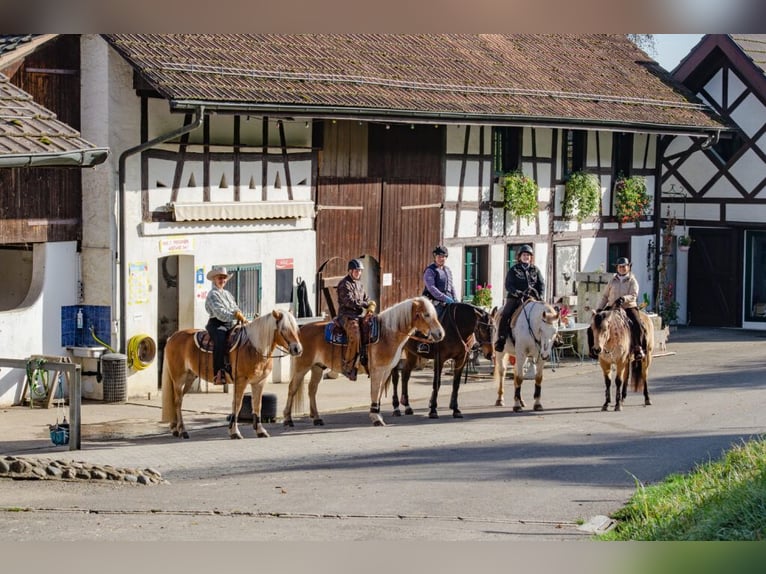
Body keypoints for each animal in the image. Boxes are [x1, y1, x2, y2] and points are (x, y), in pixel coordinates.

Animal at [161, 310, 304, 440]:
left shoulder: (259, 382)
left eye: (296, 328)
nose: (297, 349)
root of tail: (172, 337)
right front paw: (234, 432)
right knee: (178, 402)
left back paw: (175, 428)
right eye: (284, 329)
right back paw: (183, 431)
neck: (254, 348)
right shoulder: (241, 381)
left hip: (189, 378)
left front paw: (260, 431)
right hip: (179, 379)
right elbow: (237, 404)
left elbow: (257, 405)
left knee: (177, 401)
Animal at [284, 296, 448, 428]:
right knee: (292, 388)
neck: (386, 334)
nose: (440, 334)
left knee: (312, 389)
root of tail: (299, 331)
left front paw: (378, 414)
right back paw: (288, 419)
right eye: (426, 314)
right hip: (302, 367)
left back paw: (317, 418)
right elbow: (374, 391)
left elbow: (379, 391)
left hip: (317, 367)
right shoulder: (378, 370)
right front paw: (376, 418)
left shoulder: (386, 371)